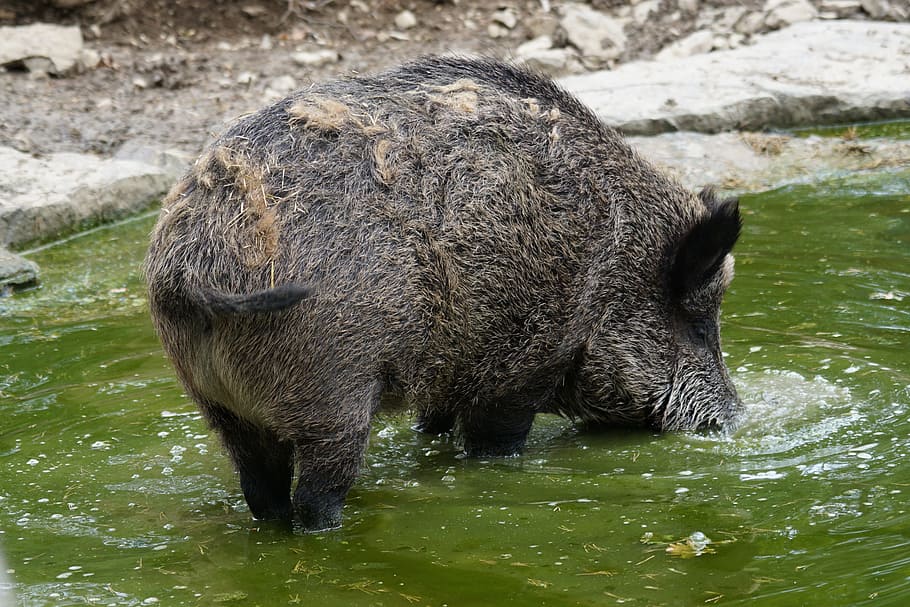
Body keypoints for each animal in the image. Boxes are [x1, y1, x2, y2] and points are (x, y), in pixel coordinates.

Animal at [144, 56, 742, 531]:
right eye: (697, 323)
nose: (734, 417)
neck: (613, 265)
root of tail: (191, 263)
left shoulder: (449, 376)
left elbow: (432, 427)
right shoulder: (525, 363)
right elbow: (496, 442)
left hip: (221, 405)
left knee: (261, 494)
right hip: (330, 389)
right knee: (315, 496)